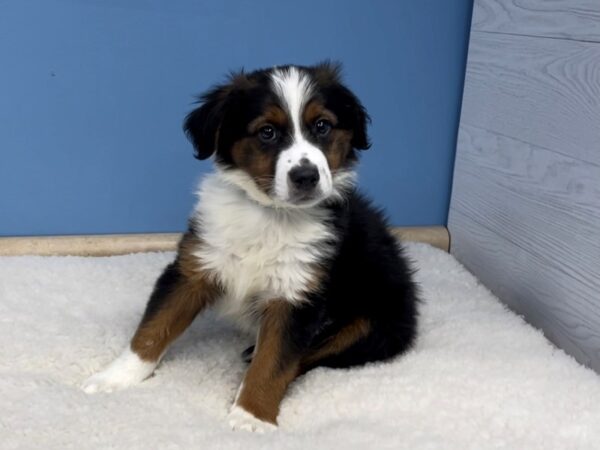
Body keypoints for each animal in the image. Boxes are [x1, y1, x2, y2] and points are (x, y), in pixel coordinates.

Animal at [83, 61, 422, 430]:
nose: (306, 177)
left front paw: (251, 417)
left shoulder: (296, 296)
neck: (270, 215)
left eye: (322, 126)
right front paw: (115, 378)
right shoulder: (194, 267)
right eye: (267, 132)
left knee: (307, 357)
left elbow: (275, 363)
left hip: (377, 325)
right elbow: (152, 329)